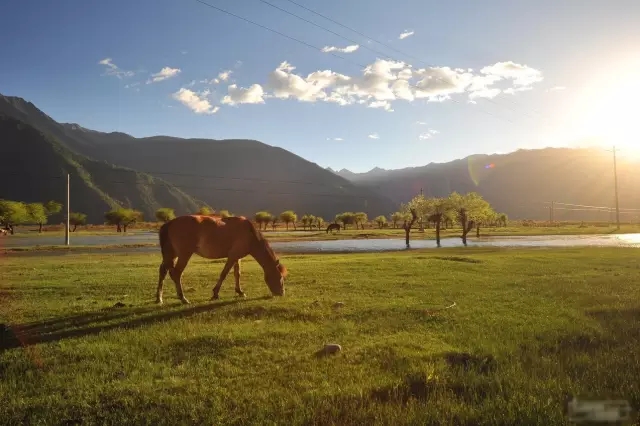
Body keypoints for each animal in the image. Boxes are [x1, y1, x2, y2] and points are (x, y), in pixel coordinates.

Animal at [155, 215, 288, 304]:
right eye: (280, 277)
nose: (281, 293)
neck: (250, 235)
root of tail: (170, 223)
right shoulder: (232, 256)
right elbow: (224, 273)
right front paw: (215, 293)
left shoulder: (237, 257)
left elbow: (237, 274)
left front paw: (240, 291)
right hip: (184, 255)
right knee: (176, 274)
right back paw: (183, 298)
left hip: (171, 254)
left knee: (163, 271)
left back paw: (159, 298)